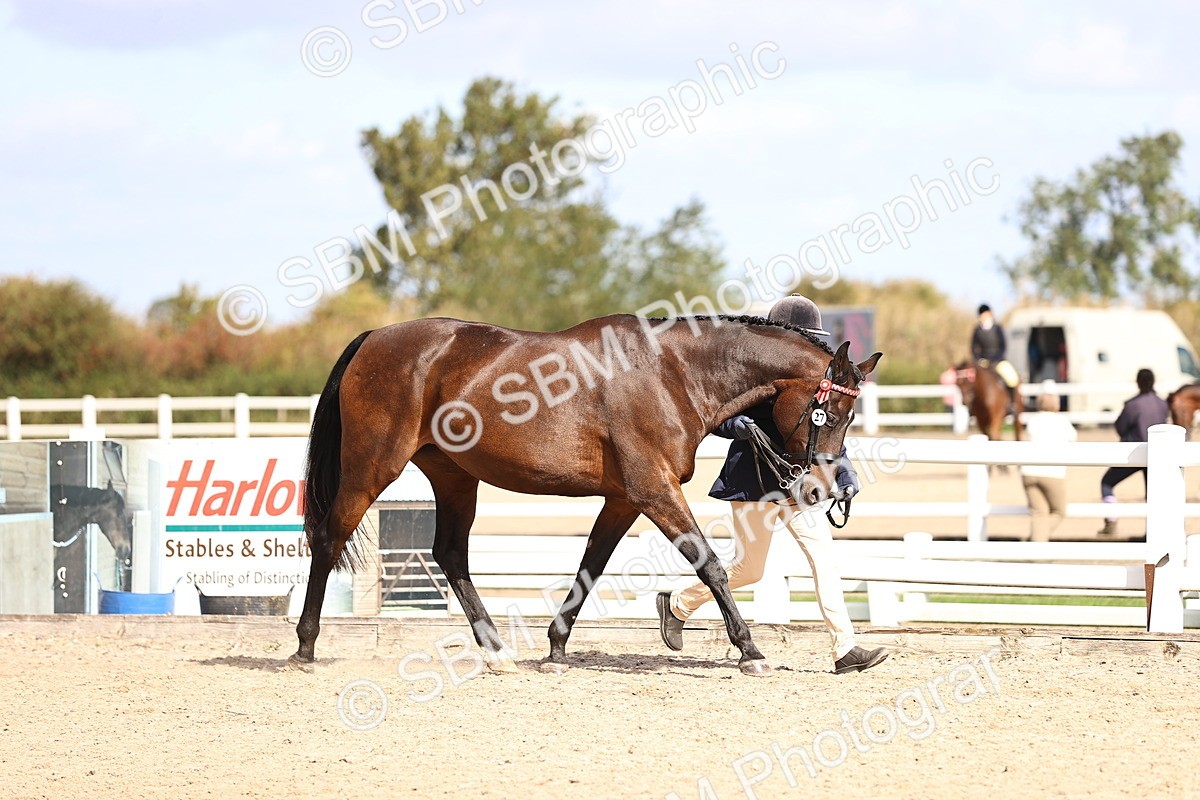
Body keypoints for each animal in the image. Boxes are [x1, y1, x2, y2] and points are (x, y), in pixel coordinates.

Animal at [292, 313, 881, 676]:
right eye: (829, 412)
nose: (819, 488)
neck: (671, 373)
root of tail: (374, 338)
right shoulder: (653, 489)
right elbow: (710, 564)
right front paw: (750, 650)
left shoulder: (624, 499)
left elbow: (590, 566)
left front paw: (556, 647)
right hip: (371, 466)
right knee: (329, 538)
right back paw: (305, 644)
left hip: (455, 477)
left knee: (450, 554)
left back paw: (498, 652)